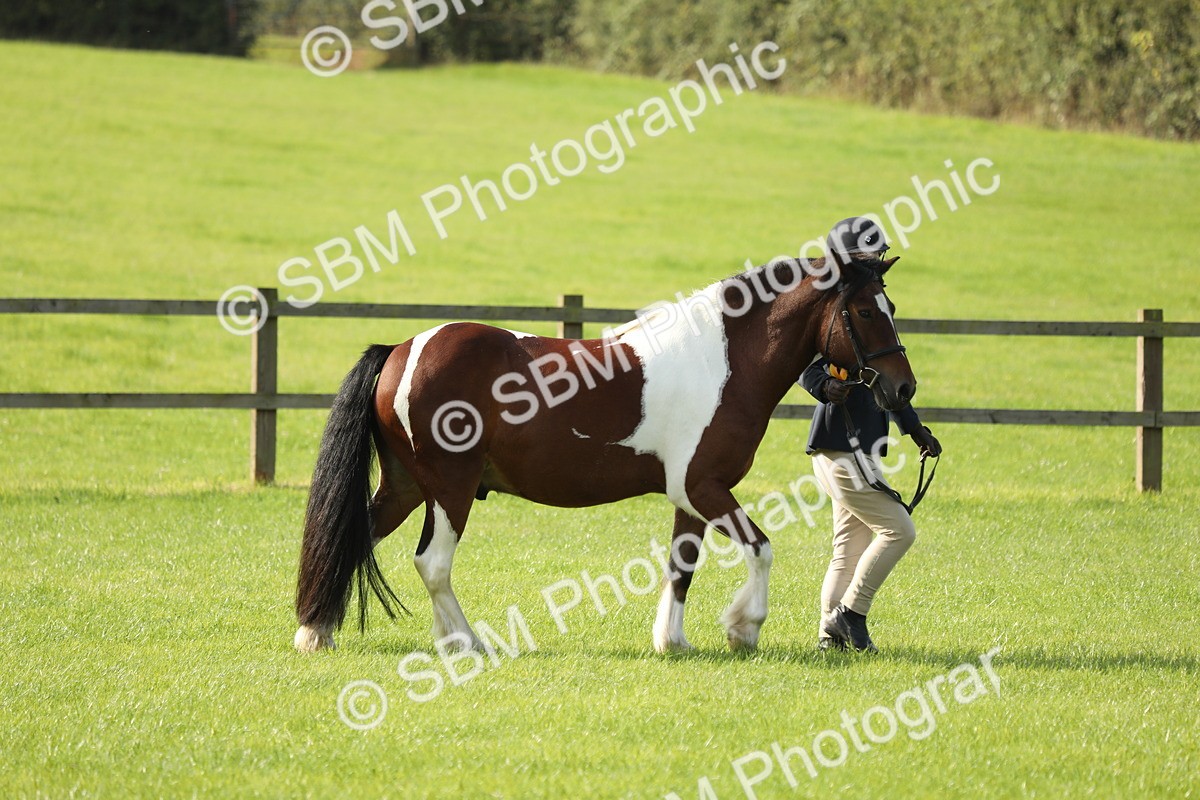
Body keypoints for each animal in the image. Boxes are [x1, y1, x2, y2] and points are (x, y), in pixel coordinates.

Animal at [293, 254, 916, 654]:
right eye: (866, 312)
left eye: (889, 305)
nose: (902, 388)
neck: (722, 361)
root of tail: (402, 349)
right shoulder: (705, 487)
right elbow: (761, 550)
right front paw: (743, 629)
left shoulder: (690, 497)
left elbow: (681, 565)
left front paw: (672, 641)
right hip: (450, 488)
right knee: (433, 563)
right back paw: (464, 642)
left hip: (403, 486)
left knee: (354, 537)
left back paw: (316, 633)